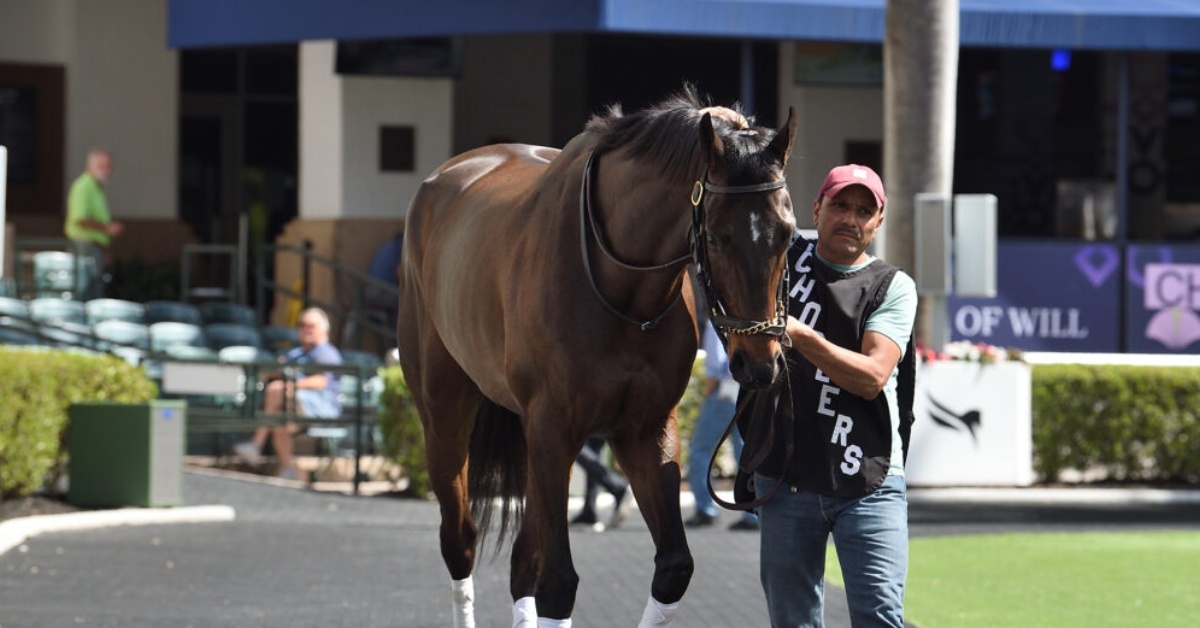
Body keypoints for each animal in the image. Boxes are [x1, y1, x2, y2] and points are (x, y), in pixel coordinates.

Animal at [396, 86, 797, 627]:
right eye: (716, 236)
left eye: (789, 234)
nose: (759, 362)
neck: (621, 289)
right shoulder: (553, 429)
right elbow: (558, 582)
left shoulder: (646, 432)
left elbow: (673, 567)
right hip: (444, 412)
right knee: (460, 539)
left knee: (524, 560)